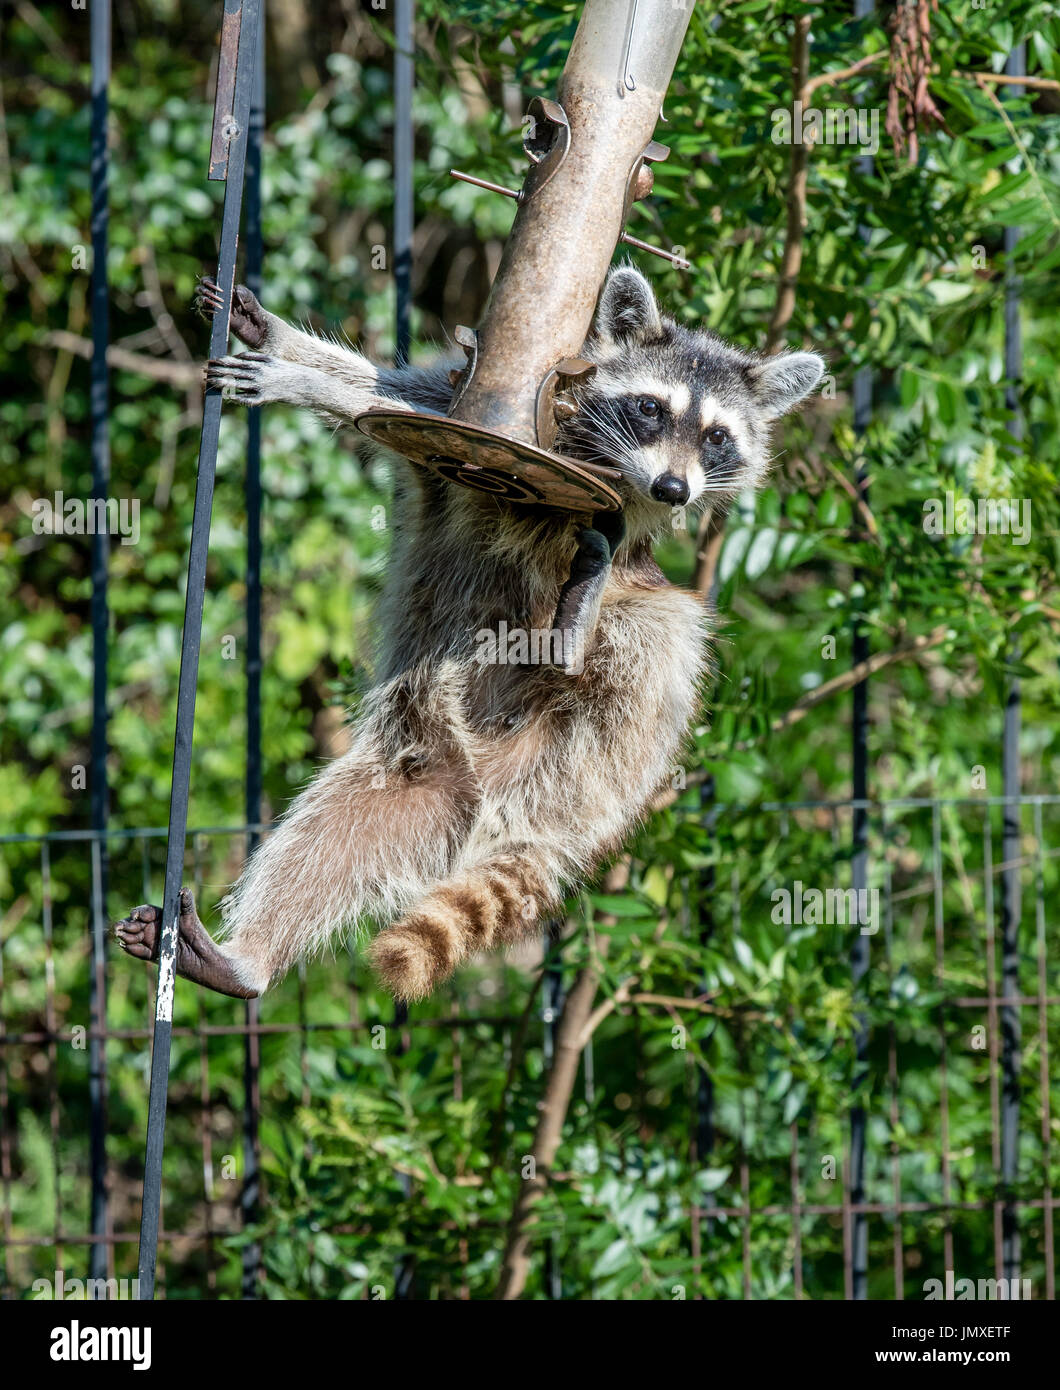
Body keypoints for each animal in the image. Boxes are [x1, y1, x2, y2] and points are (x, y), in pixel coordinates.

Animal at [114, 267, 823, 1001]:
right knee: (332, 838)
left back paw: (571, 639)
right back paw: (244, 958)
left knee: (665, 628)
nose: (675, 488)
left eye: (717, 437)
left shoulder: (602, 508)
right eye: (652, 409)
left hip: (616, 732)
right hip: (419, 784)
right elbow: (395, 394)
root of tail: (543, 816)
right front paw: (285, 345)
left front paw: (298, 377)